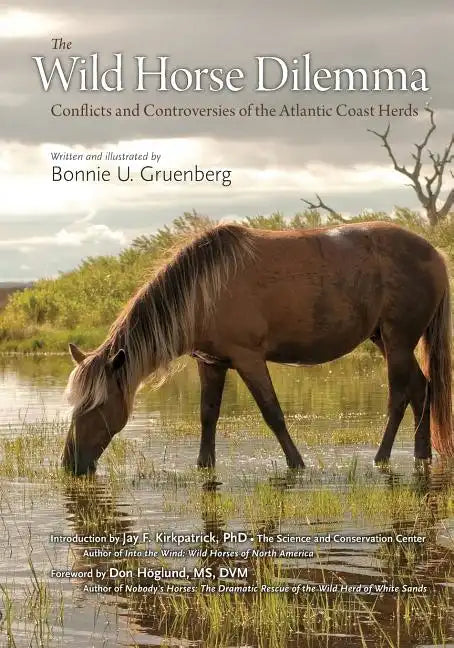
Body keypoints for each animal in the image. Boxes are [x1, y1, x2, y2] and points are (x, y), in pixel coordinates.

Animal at [62, 221, 454, 475]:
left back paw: (381, 457)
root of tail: (435, 254)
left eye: (98, 405)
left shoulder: (248, 359)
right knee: (422, 390)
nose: (70, 463)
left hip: (398, 340)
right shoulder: (211, 362)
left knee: (400, 396)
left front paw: (296, 464)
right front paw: (204, 465)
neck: (204, 288)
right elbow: (208, 415)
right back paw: (421, 454)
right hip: (387, 340)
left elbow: (272, 413)